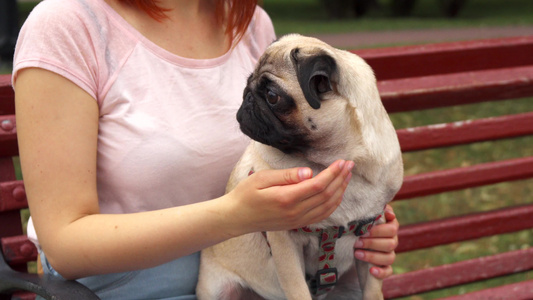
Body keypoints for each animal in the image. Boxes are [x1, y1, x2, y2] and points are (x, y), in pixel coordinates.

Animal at [196, 34, 404, 298]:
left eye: (272, 96)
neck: (339, 160)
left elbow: (373, 290)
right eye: (248, 83)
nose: (248, 96)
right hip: (218, 289)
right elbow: (297, 289)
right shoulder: (284, 241)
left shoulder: (371, 234)